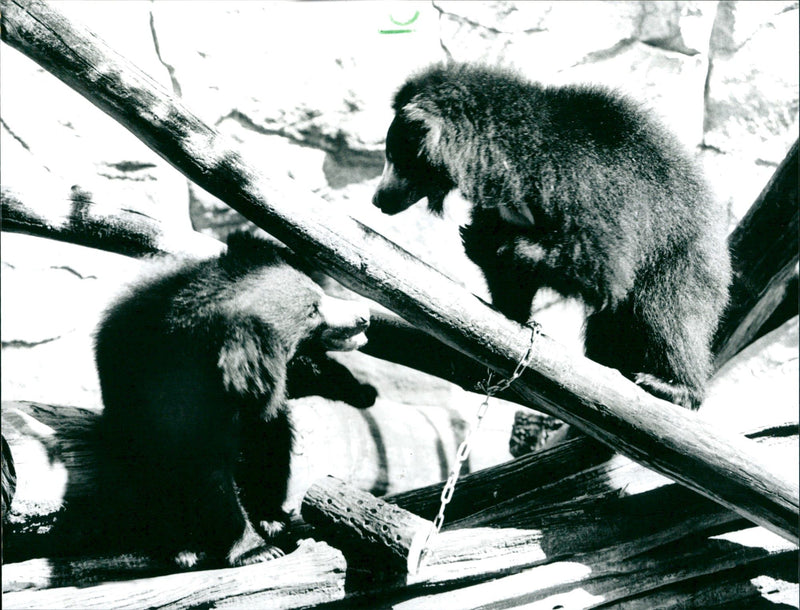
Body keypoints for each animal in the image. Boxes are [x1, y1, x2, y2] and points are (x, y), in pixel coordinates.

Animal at [94, 231, 371, 567]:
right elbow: (206, 474)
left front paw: (362, 391)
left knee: (274, 444)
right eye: (312, 310)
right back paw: (183, 547)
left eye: (318, 293)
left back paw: (271, 517)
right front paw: (257, 550)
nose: (365, 317)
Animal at [373, 62, 731, 410]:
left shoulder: (587, 187)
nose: (379, 200)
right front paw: (512, 311)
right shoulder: (501, 205)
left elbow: (601, 266)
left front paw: (499, 247)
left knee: (667, 313)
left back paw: (672, 386)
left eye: (394, 157)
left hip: (679, 255)